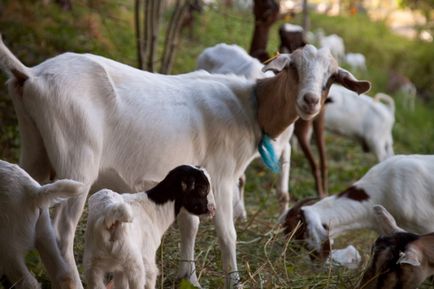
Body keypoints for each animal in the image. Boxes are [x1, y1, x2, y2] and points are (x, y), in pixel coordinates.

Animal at [83, 164, 215, 288]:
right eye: (202, 188)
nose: (213, 209)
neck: (155, 207)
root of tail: (110, 215)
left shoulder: (120, 270)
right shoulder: (148, 259)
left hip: (93, 265)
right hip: (134, 263)